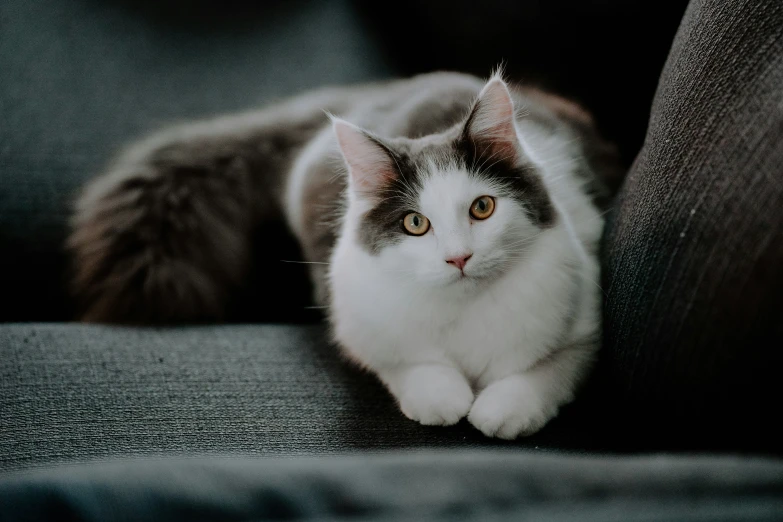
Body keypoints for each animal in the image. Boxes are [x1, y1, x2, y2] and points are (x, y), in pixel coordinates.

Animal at [72, 69, 624, 434]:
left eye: (483, 208)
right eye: (415, 224)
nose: (459, 259)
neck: (464, 309)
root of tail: (380, 89)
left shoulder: (587, 325)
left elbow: (548, 373)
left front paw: (502, 410)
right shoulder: (358, 319)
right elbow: (410, 367)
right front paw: (443, 399)